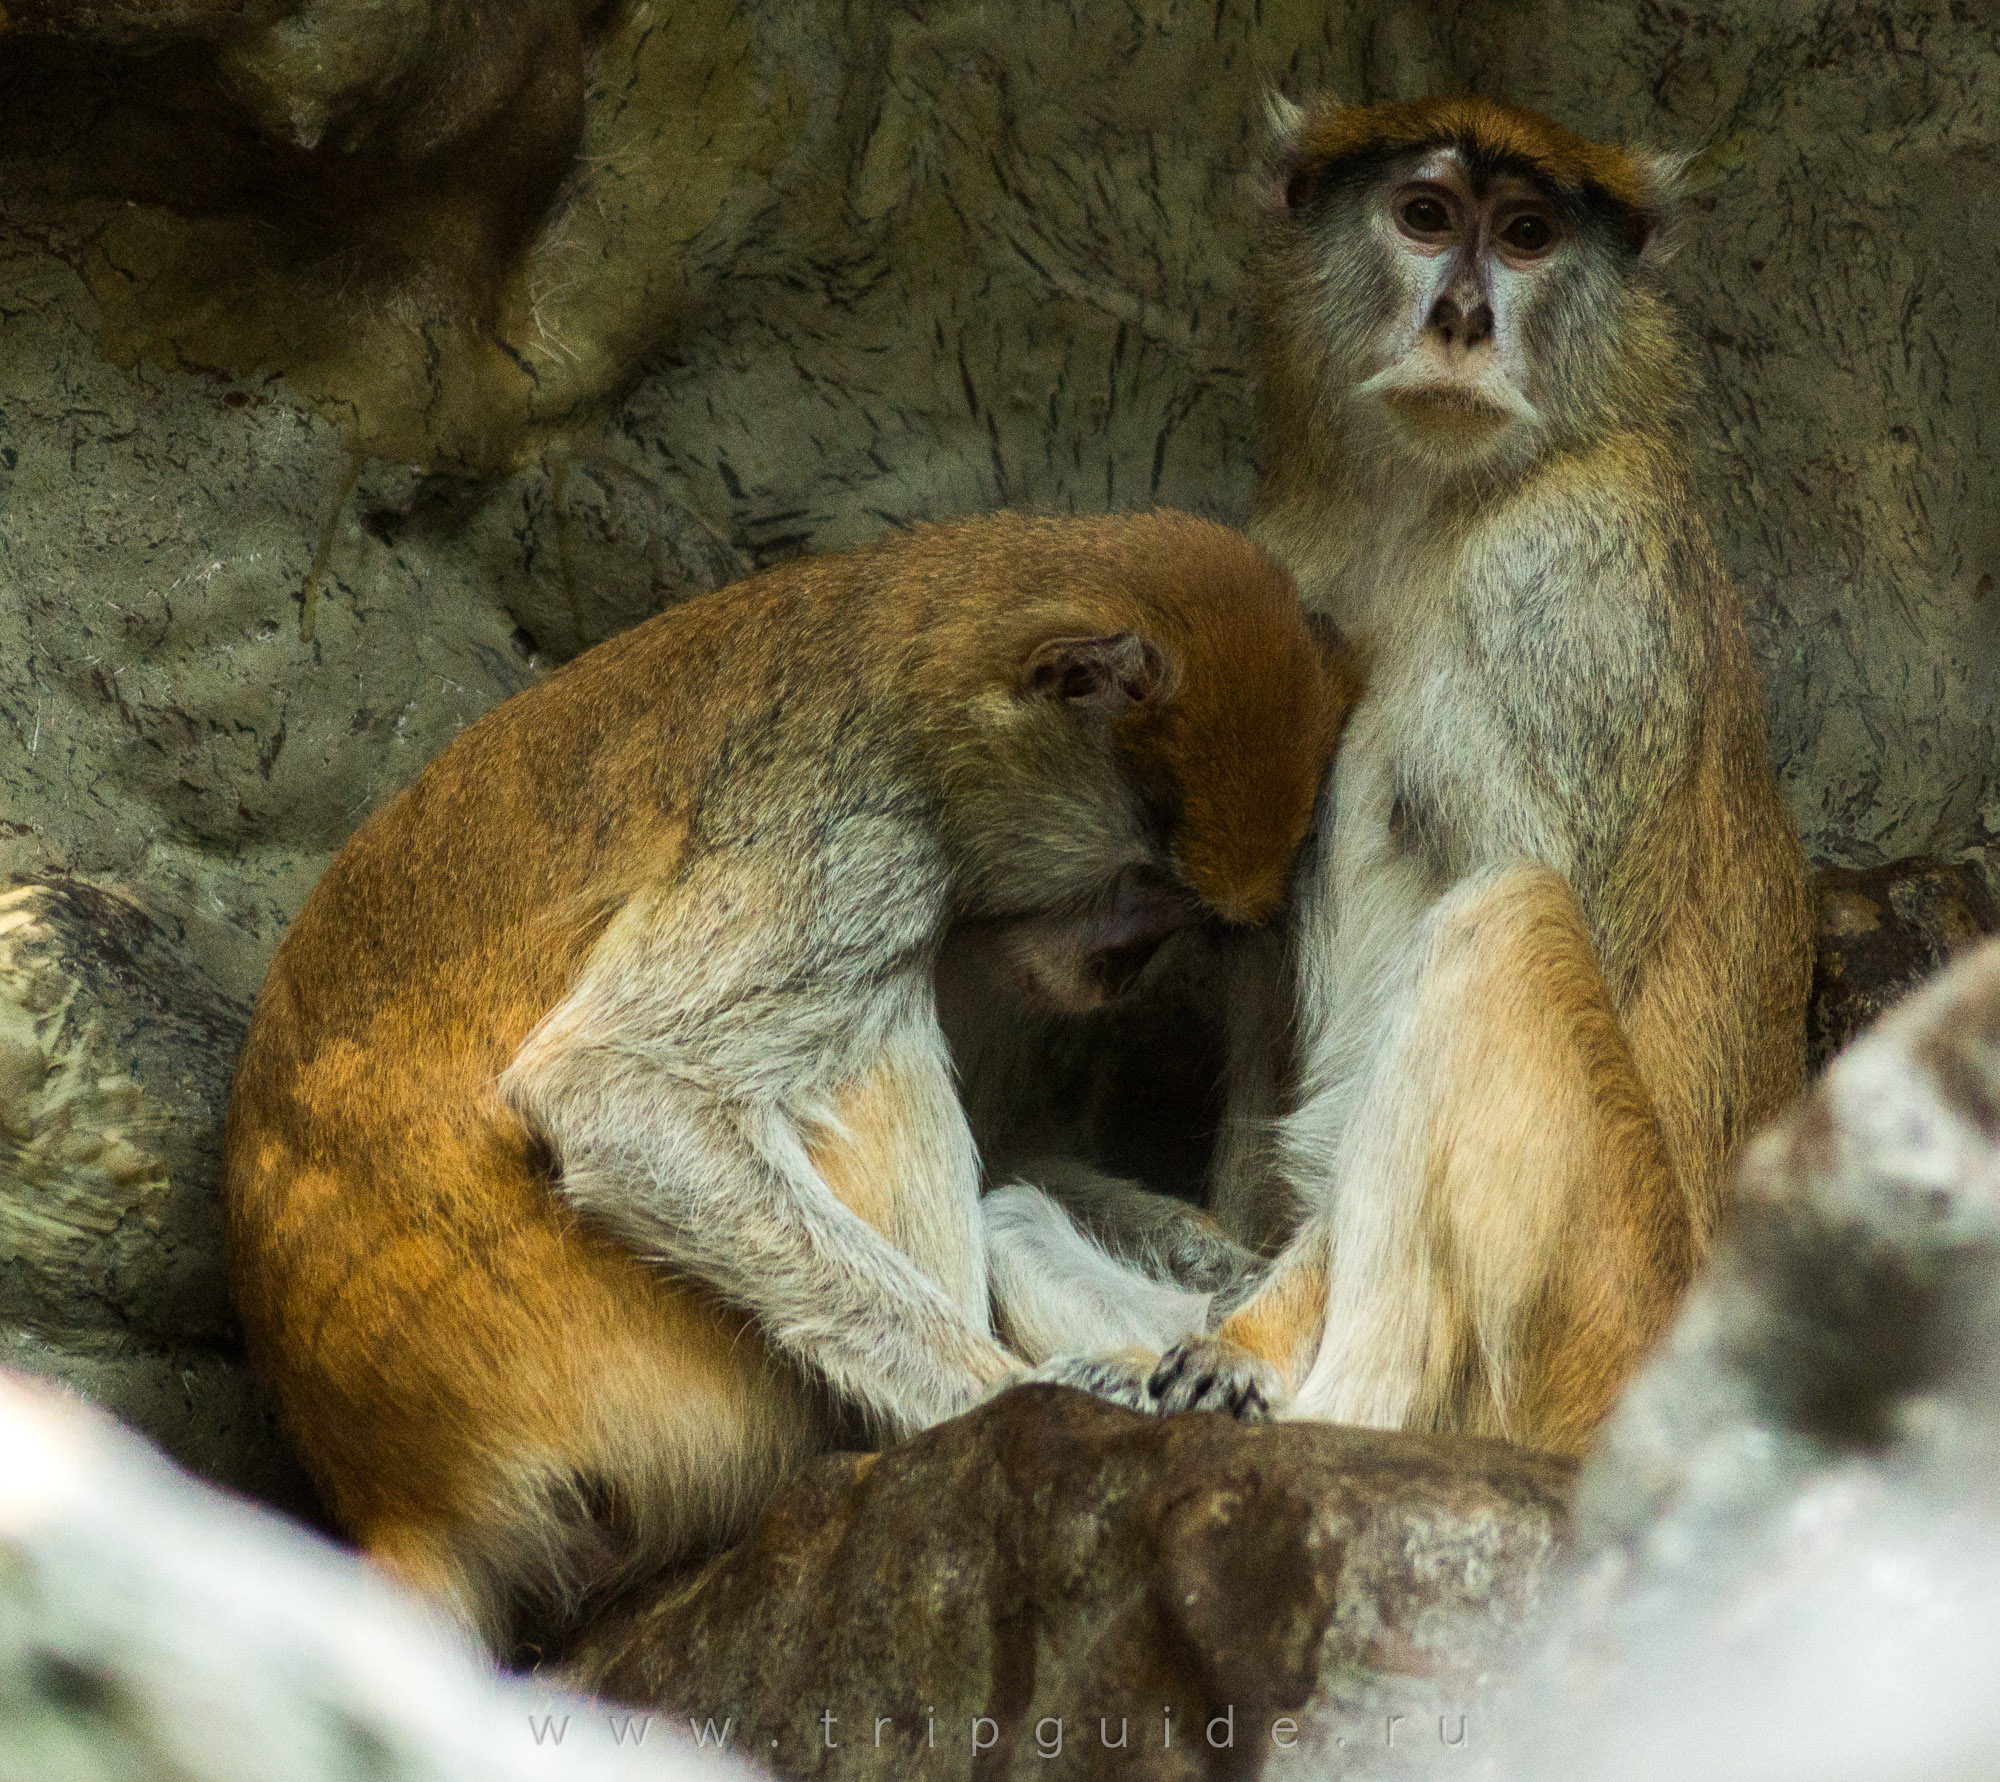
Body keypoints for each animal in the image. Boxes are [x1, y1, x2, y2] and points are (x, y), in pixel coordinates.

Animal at [223, 506, 1360, 1656]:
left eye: (1182, 907)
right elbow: (614, 1092)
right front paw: (1023, 1388)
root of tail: (403, 1492)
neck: (919, 657)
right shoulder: (858, 844)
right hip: (659, 1394)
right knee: (872, 1036)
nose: (1124, 962)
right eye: (1143, 878)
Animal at [1016, 97, 1816, 1456]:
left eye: (1530, 235)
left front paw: (1238, 1351)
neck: (1431, 507)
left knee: (1507, 923)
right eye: (1426, 216)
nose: (1461, 322)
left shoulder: (1568, 586)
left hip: (1596, 1328)